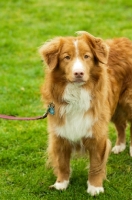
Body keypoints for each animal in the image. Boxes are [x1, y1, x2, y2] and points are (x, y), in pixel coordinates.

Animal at [38, 32, 132, 196]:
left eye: (86, 56)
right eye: (66, 57)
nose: (79, 73)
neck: (77, 93)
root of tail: (126, 40)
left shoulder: (97, 134)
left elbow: (96, 165)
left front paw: (95, 187)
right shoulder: (60, 133)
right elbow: (62, 163)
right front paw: (61, 184)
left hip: (128, 101)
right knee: (121, 125)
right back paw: (120, 146)